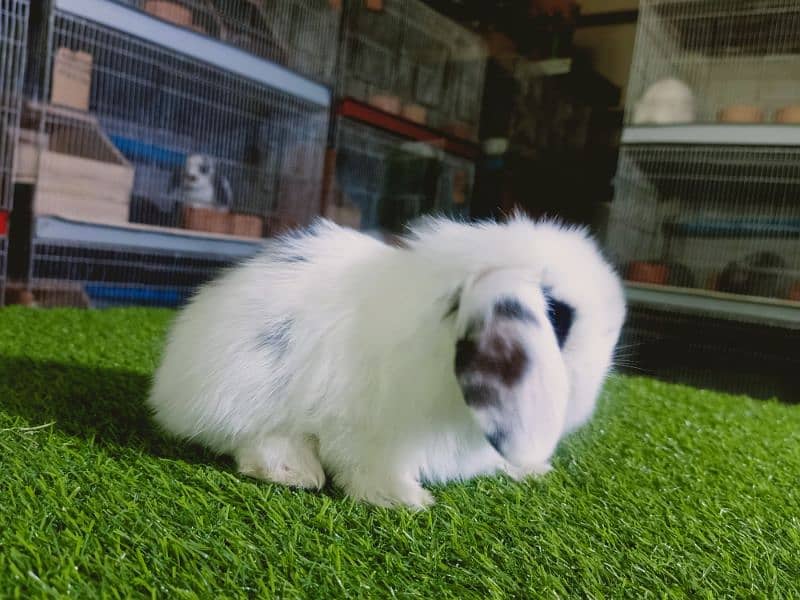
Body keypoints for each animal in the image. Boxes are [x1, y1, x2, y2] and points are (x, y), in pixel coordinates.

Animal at [148, 216, 624, 506]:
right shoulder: (362, 433)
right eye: (558, 317)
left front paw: (533, 469)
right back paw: (295, 472)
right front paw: (406, 500)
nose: (590, 395)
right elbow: (366, 468)